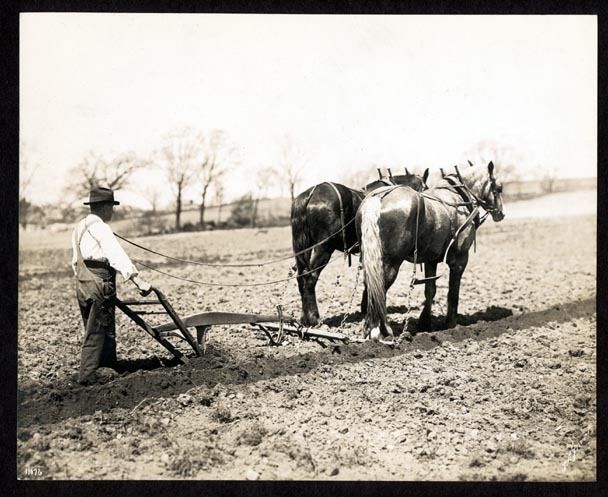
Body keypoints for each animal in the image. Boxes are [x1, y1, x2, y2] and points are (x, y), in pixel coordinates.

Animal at [290, 169, 428, 328]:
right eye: (425, 187)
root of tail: (310, 194)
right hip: (324, 247)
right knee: (310, 277)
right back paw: (314, 318)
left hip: (305, 247)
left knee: (301, 276)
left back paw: (304, 318)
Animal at [356, 163, 504, 340]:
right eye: (499, 188)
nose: (501, 213)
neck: (458, 198)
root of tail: (376, 199)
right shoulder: (459, 259)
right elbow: (453, 292)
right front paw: (451, 324)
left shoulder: (430, 259)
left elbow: (430, 290)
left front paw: (425, 323)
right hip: (391, 262)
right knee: (380, 288)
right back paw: (379, 330)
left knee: (371, 285)